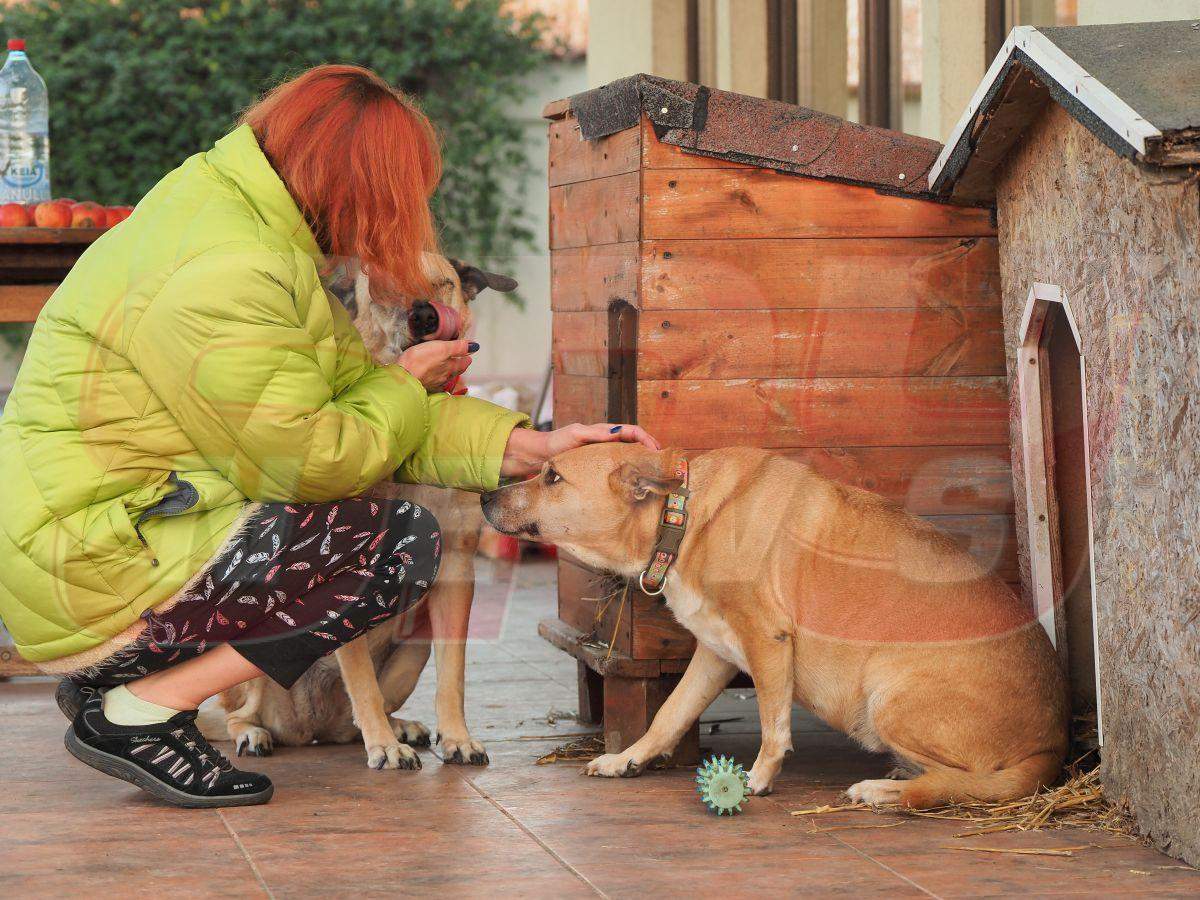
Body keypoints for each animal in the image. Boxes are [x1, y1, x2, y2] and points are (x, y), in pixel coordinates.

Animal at [219, 256, 516, 772]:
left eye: (442, 283)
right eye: (383, 287)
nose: (424, 316)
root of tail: (309, 729)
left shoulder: (457, 570)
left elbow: (453, 676)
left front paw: (456, 738)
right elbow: (359, 675)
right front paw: (383, 746)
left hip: (414, 646)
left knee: (354, 717)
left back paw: (397, 726)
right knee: (236, 715)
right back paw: (256, 734)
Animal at [477, 448, 1070, 806]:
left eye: (552, 476)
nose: (484, 493)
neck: (685, 517)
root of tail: (1054, 745)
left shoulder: (767, 642)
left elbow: (772, 724)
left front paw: (757, 779)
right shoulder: (715, 653)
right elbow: (669, 715)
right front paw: (628, 759)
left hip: (888, 697)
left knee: (965, 783)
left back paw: (882, 789)